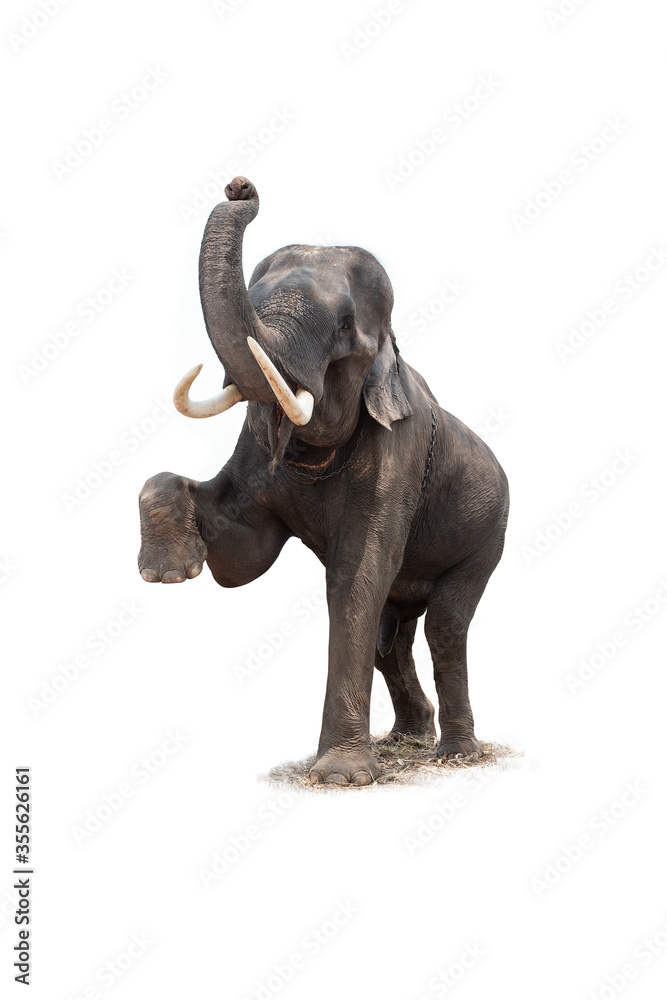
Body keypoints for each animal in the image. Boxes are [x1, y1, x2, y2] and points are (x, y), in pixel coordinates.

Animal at [137, 176, 509, 786]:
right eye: (254, 299)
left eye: (342, 330)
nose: (240, 186)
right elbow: (243, 556)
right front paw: (168, 574)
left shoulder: (398, 457)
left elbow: (356, 577)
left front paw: (339, 776)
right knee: (391, 637)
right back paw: (408, 739)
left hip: (488, 535)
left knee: (445, 626)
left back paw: (455, 754)